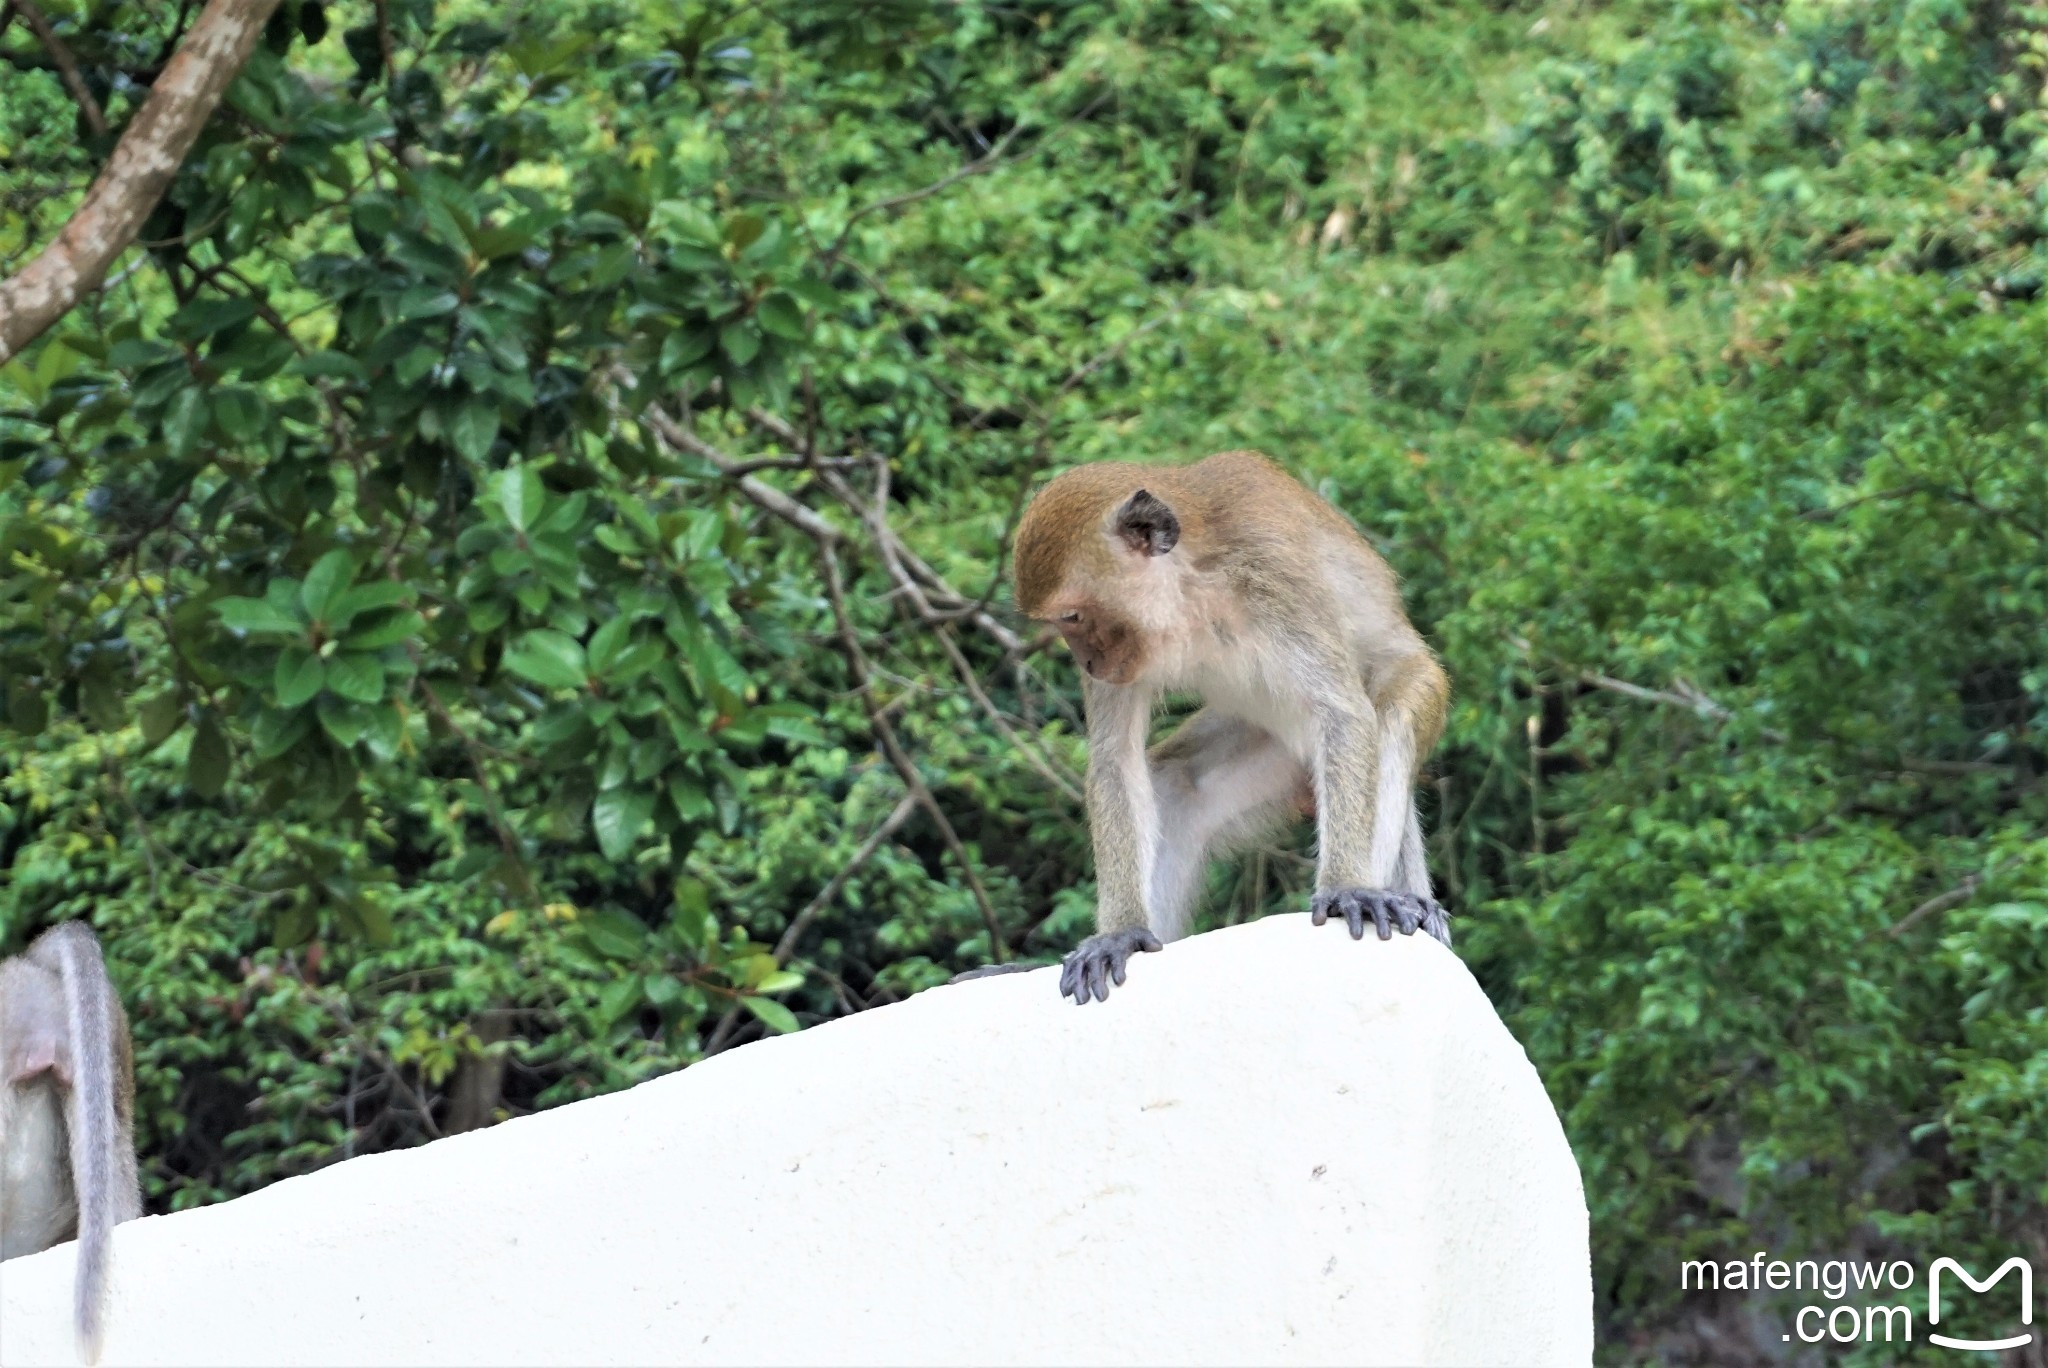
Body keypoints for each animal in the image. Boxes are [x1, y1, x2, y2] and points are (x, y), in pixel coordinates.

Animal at [966, 450, 1449, 1003]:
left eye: (1071, 616)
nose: (1086, 662)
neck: (1191, 587)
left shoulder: (1272, 576)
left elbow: (1343, 712)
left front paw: (1348, 886)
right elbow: (1115, 758)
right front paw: (1118, 934)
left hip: (1420, 682)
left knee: (1388, 718)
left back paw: (1401, 898)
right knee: (1178, 785)